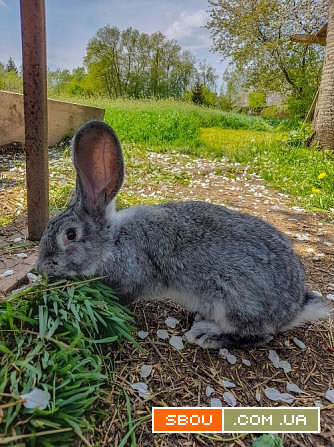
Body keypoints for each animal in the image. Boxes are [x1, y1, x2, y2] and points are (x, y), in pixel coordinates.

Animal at [35, 121, 328, 350]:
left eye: (70, 235)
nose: (41, 267)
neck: (112, 241)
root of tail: (295, 308)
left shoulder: (134, 275)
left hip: (236, 301)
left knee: (259, 335)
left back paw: (206, 334)